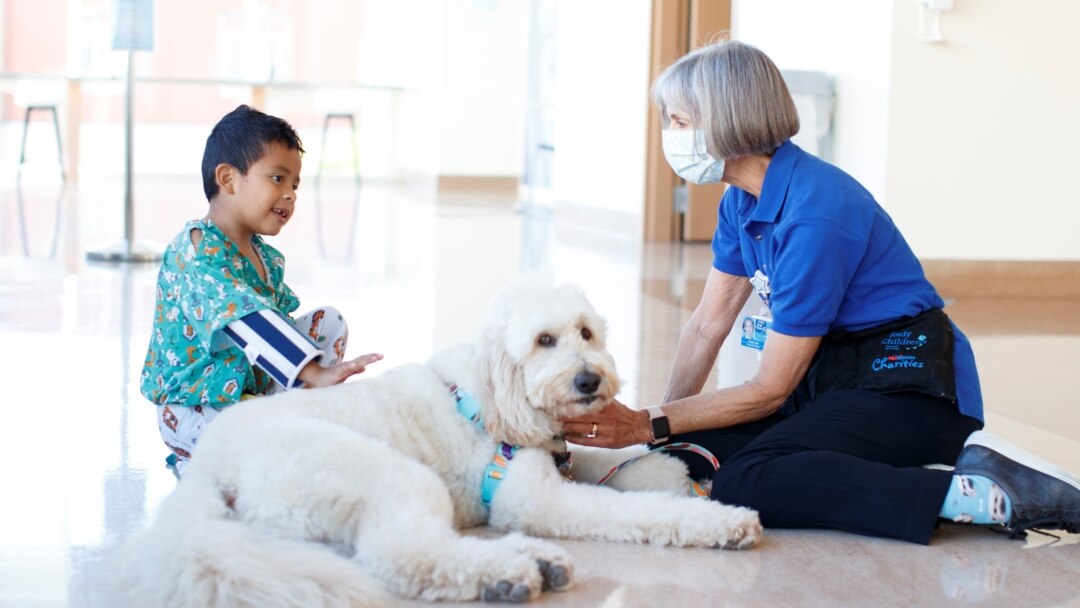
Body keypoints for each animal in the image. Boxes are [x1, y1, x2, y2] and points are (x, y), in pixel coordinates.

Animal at [111, 278, 760, 604]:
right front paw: (722, 520)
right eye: (544, 340)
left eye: (586, 332)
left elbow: (608, 457)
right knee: (402, 553)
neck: (498, 392)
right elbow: (630, 509)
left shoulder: (558, 450)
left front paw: (667, 469)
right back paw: (508, 572)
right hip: (385, 474)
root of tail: (205, 471)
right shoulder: (535, 497)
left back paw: (533, 562)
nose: (588, 380)